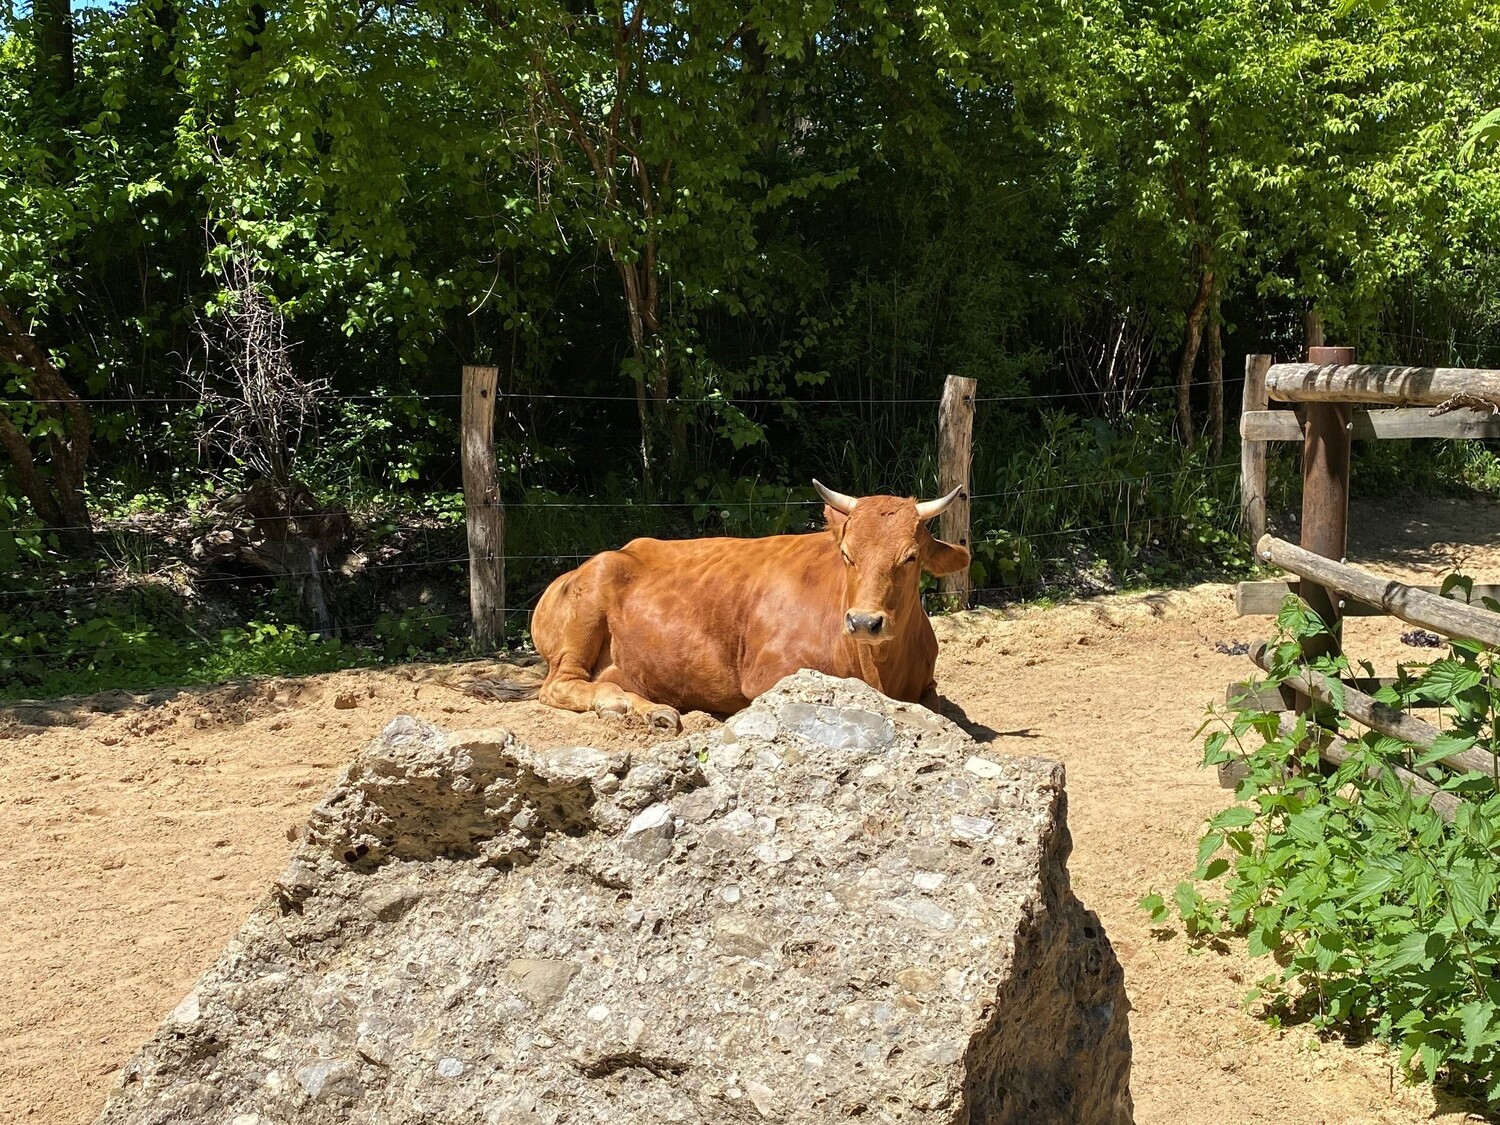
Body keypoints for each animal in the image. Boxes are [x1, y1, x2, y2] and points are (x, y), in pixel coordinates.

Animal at [486, 483, 966, 732]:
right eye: (847, 554)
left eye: (910, 557)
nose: (864, 622)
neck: (881, 668)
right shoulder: (772, 676)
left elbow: (939, 708)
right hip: (584, 617)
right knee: (561, 684)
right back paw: (627, 706)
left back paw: (653, 709)